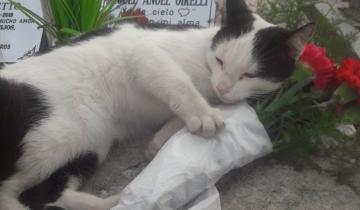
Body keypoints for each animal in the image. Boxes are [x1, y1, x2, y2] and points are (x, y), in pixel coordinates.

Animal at [0, 0, 312, 209]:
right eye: (220, 60)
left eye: (250, 75)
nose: (222, 87)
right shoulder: (144, 55)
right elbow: (178, 82)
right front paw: (202, 114)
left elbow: (175, 117)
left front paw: (162, 137)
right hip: (56, 136)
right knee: (9, 192)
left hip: (90, 141)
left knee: (46, 193)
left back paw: (117, 201)